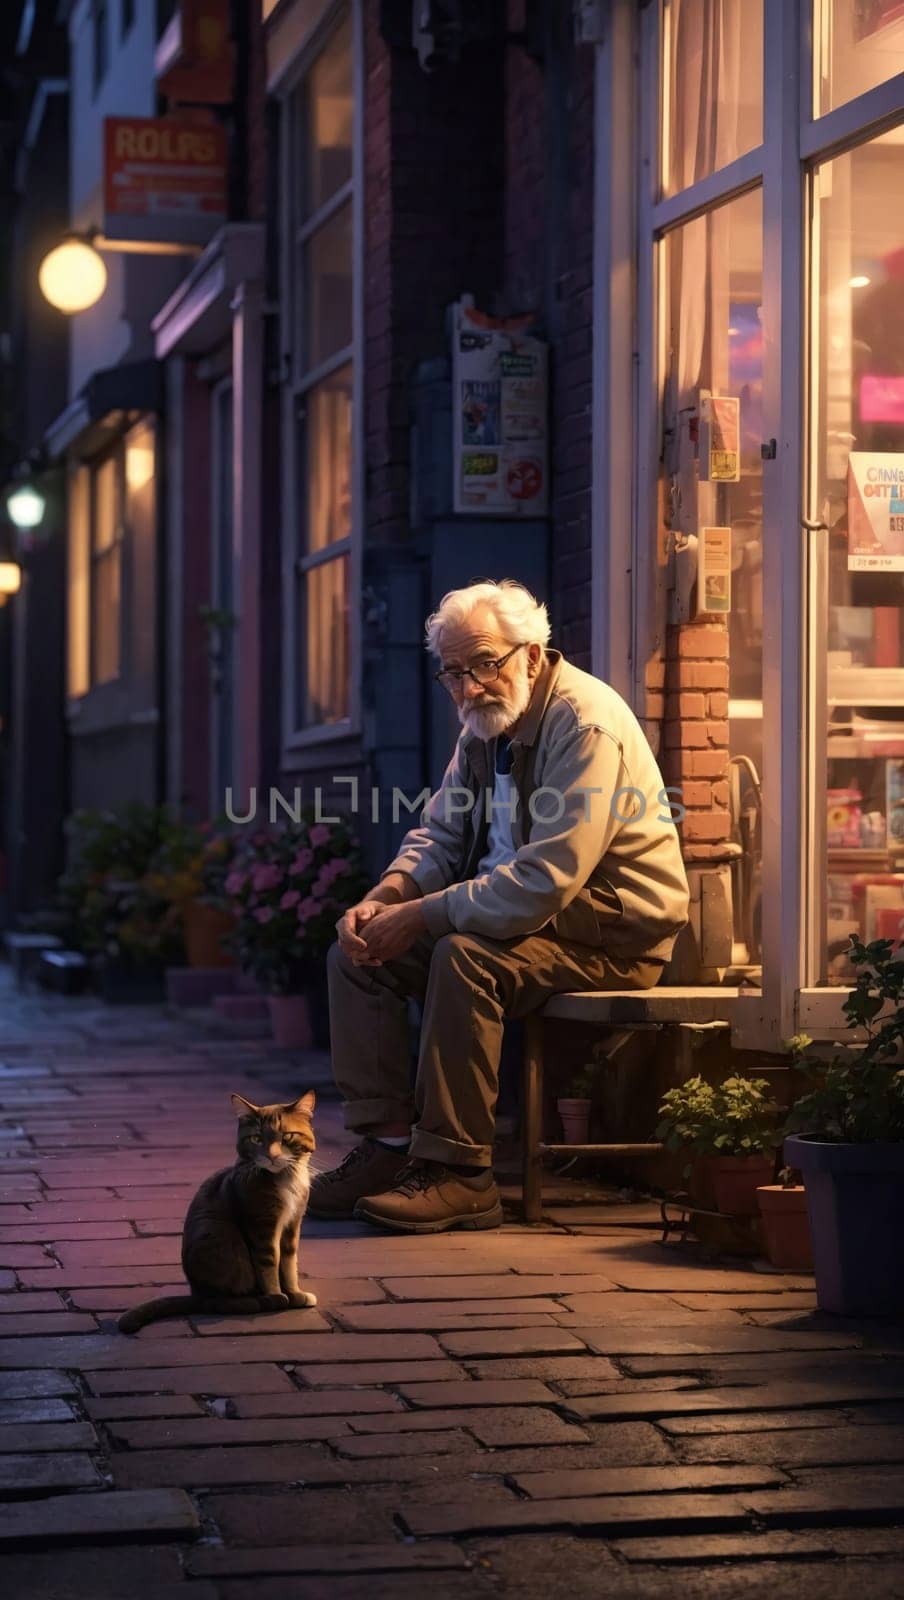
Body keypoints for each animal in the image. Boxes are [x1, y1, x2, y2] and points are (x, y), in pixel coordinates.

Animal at [118, 1088, 318, 1337]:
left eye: (287, 1136)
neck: (285, 1179)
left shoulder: (293, 1223)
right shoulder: (261, 1225)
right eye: (256, 1139)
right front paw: (276, 1296)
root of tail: (198, 1295)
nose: (272, 1156)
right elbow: (269, 1262)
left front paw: (295, 1293)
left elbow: (289, 1261)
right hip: (219, 1236)